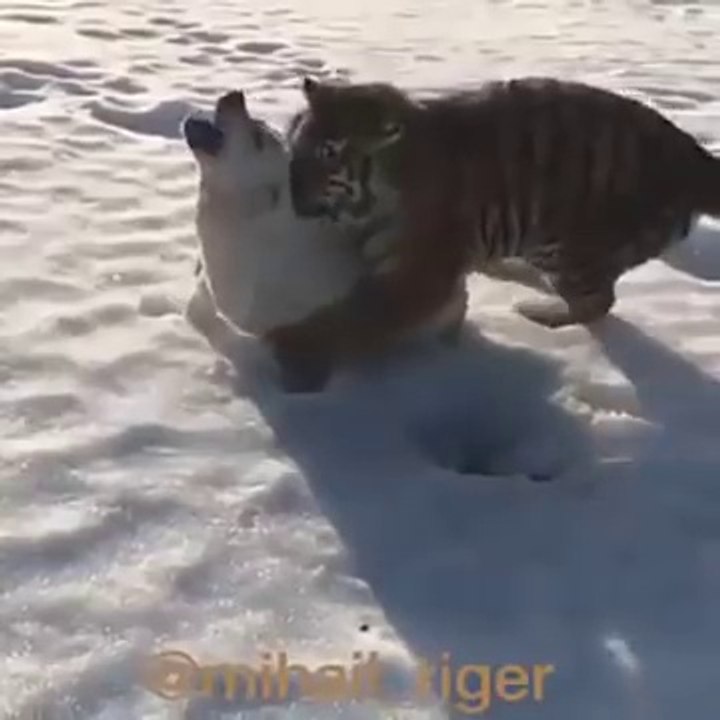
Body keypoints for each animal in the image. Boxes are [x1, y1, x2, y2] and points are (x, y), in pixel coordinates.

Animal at [265, 75, 720, 363]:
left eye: (327, 153)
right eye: (293, 142)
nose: (292, 196)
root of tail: (693, 156)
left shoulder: (420, 274)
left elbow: (357, 318)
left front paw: (294, 345)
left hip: (565, 250)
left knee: (598, 302)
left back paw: (541, 315)